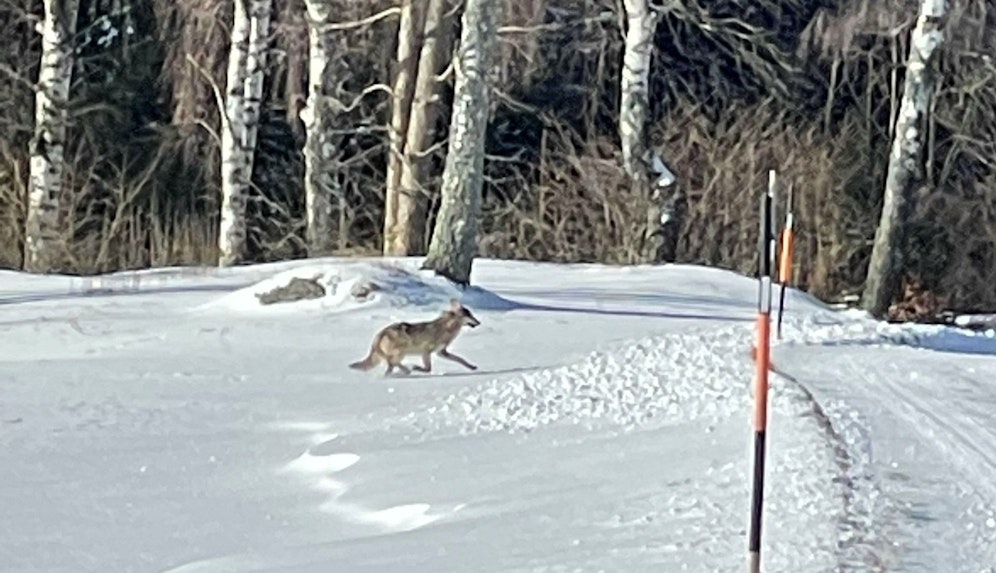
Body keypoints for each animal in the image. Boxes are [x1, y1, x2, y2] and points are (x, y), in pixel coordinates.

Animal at [348, 300, 480, 376]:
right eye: (470, 316)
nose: (479, 322)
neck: (447, 328)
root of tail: (379, 333)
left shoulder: (441, 352)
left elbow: (460, 359)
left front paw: (472, 367)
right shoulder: (426, 351)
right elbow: (428, 368)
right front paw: (415, 367)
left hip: (399, 354)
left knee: (391, 366)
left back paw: (402, 372)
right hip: (401, 352)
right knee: (392, 363)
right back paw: (407, 370)